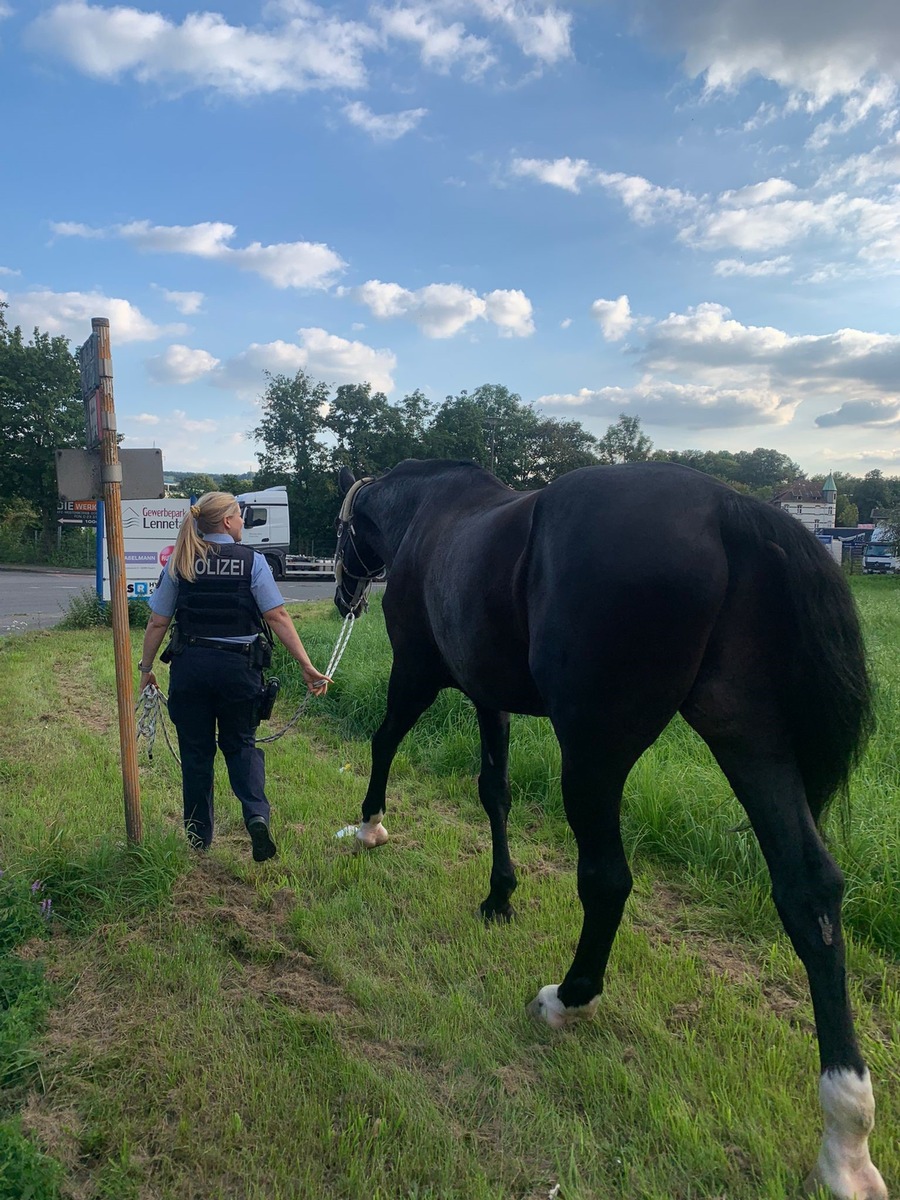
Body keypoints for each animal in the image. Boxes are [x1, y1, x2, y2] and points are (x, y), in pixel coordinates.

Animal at [336, 460, 883, 1200]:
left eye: (343, 529)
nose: (343, 595)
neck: (430, 514)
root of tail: (724, 507)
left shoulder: (418, 674)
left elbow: (385, 740)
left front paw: (369, 825)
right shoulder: (488, 697)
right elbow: (494, 792)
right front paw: (499, 895)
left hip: (593, 752)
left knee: (607, 880)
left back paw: (568, 997)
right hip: (750, 737)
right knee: (809, 892)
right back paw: (845, 1135)